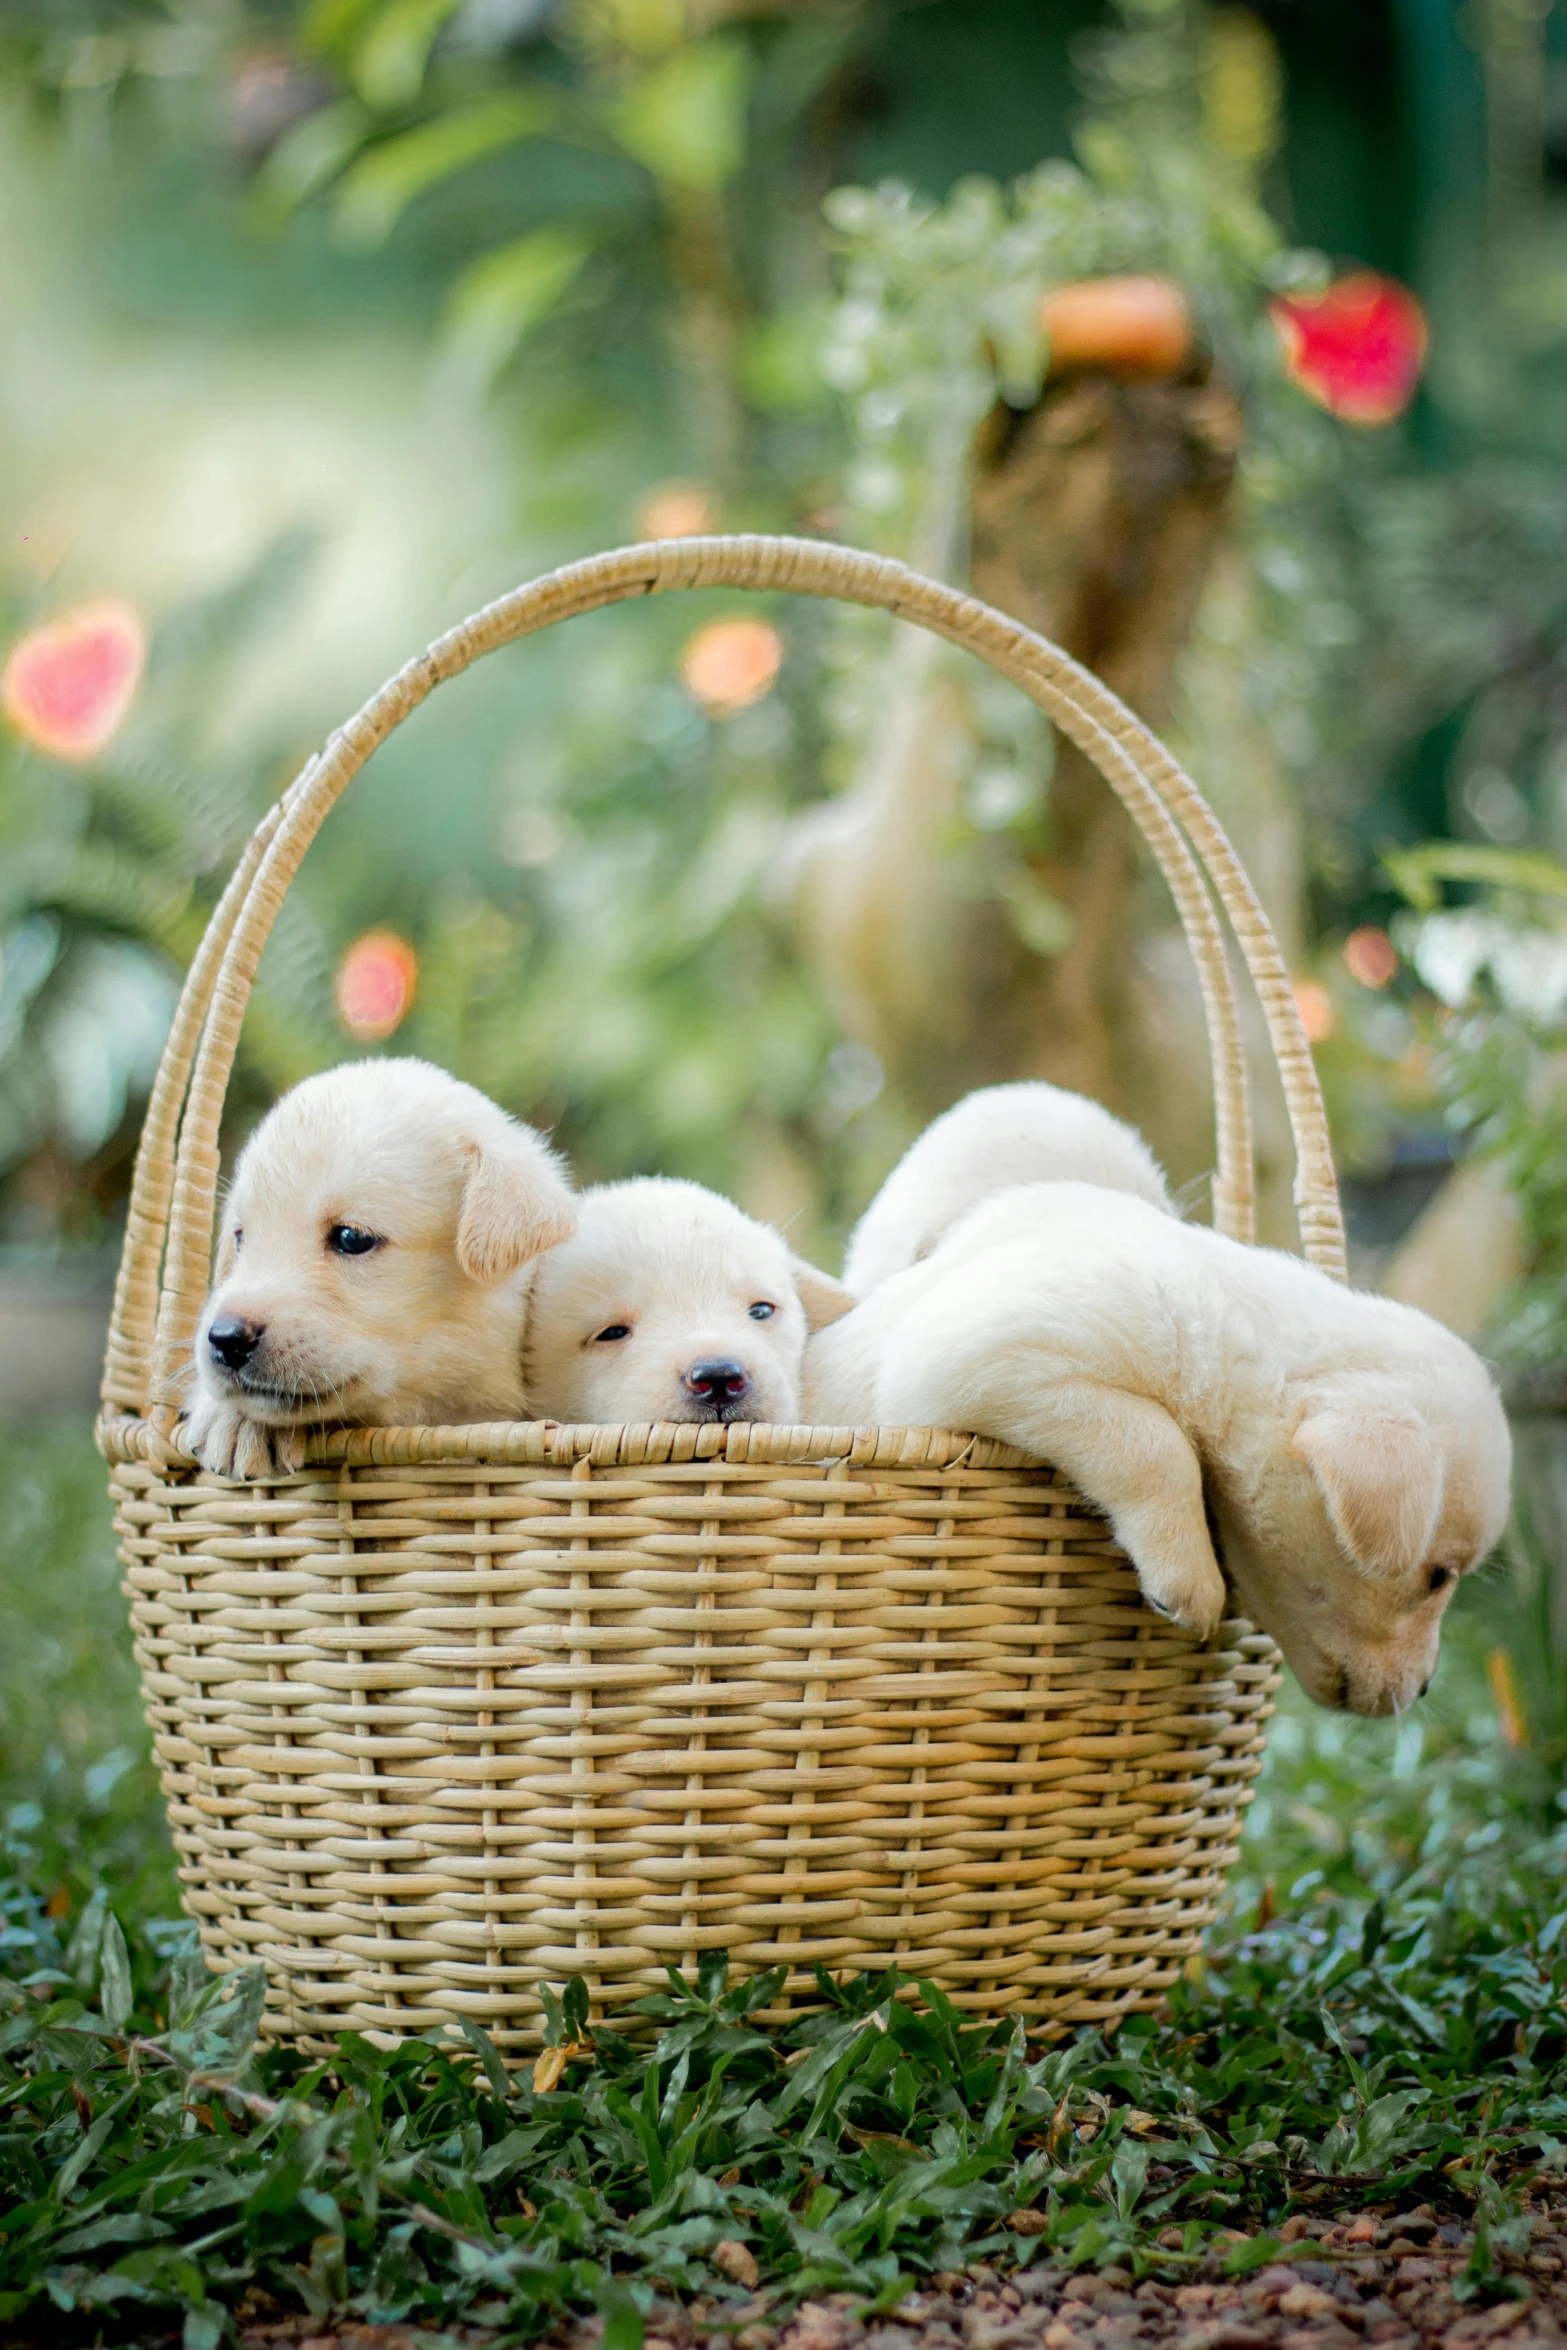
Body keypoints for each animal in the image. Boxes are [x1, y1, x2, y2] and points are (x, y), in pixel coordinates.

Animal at [808, 1151, 1503, 1710]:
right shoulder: (981, 1352)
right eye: (1439, 1577)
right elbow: (1160, 1444)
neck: (1237, 1332)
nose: (1424, 1690)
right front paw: (1189, 1579)